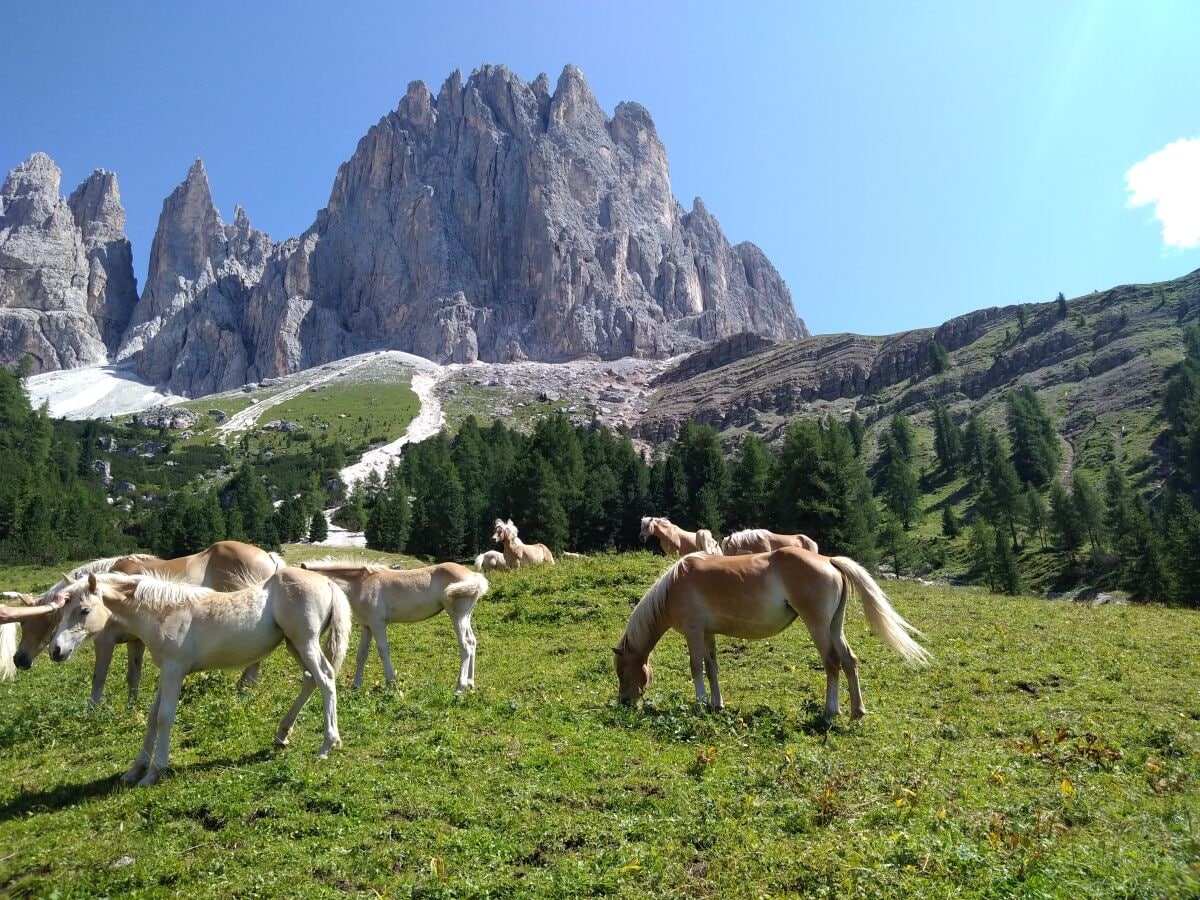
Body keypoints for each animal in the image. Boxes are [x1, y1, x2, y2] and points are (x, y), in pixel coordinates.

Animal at [9, 542, 280, 705]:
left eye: (25, 623)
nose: (19, 659)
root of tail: (268, 557)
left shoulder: (105, 641)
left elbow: (99, 676)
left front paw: (92, 711)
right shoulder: (136, 641)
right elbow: (133, 675)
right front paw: (131, 707)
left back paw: (243, 689)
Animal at [49, 571, 350, 787]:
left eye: (84, 610)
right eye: (64, 610)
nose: (56, 650)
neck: (164, 612)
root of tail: (327, 581)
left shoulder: (174, 670)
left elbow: (164, 717)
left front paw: (154, 772)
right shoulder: (166, 671)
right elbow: (152, 716)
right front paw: (135, 769)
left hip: (305, 642)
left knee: (325, 680)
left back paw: (327, 744)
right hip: (293, 645)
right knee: (312, 679)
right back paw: (282, 735)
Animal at [298, 561, 487, 696]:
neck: (360, 584)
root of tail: (474, 576)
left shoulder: (377, 623)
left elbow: (383, 651)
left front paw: (390, 682)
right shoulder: (367, 626)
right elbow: (362, 655)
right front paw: (355, 685)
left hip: (457, 616)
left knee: (465, 645)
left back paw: (460, 687)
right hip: (466, 616)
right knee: (472, 642)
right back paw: (470, 684)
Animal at [614, 547, 931, 724]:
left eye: (622, 671)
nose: (624, 702)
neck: (674, 586)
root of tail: (829, 561)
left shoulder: (693, 632)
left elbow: (696, 668)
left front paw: (702, 704)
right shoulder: (707, 634)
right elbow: (712, 667)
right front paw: (717, 704)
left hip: (818, 626)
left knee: (832, 663)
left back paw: (830, 712)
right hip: (834, 627)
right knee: (849, 661)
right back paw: (856, 712)